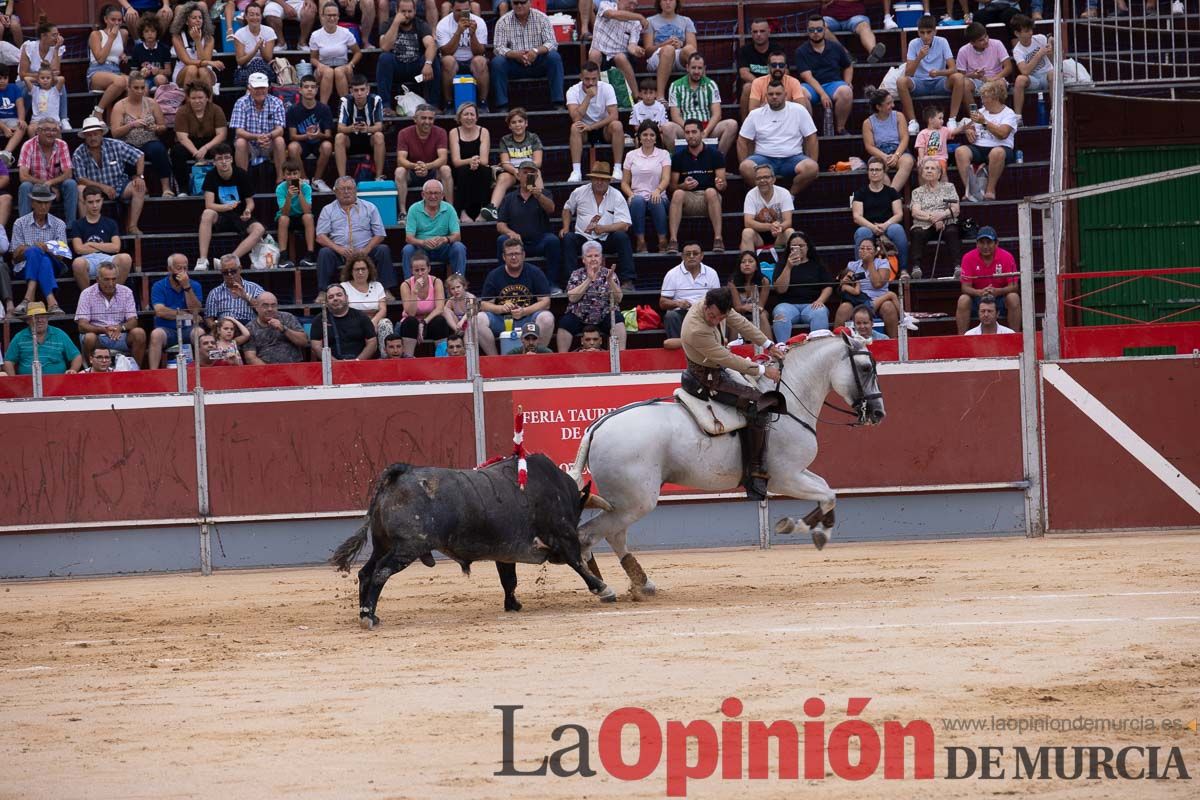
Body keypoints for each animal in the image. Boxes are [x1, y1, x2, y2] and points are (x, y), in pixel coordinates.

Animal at [328, 453, 609, 628]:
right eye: (578, 512)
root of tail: (402, 474)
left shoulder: (504, 553)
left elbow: (509, 580)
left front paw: (513, 604)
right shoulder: (563, 535)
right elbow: (577, 563)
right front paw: (603, 588)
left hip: (383, 544)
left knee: (366, 572)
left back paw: (368, 614)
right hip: (407, 547)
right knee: (380, 572)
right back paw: (368, 617)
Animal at [566, 328, 888, 597]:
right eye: (865, 368)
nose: (878, 413)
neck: (789, 402)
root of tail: (598, 426)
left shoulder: (799, 473)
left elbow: (828, 491)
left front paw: (815, 529)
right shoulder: (786, 477)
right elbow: (829, 494)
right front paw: (805, 529)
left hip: (624, 502)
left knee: (613, 535)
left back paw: (642, 584)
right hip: (636, 501)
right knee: (588, 535)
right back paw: (603, 588)